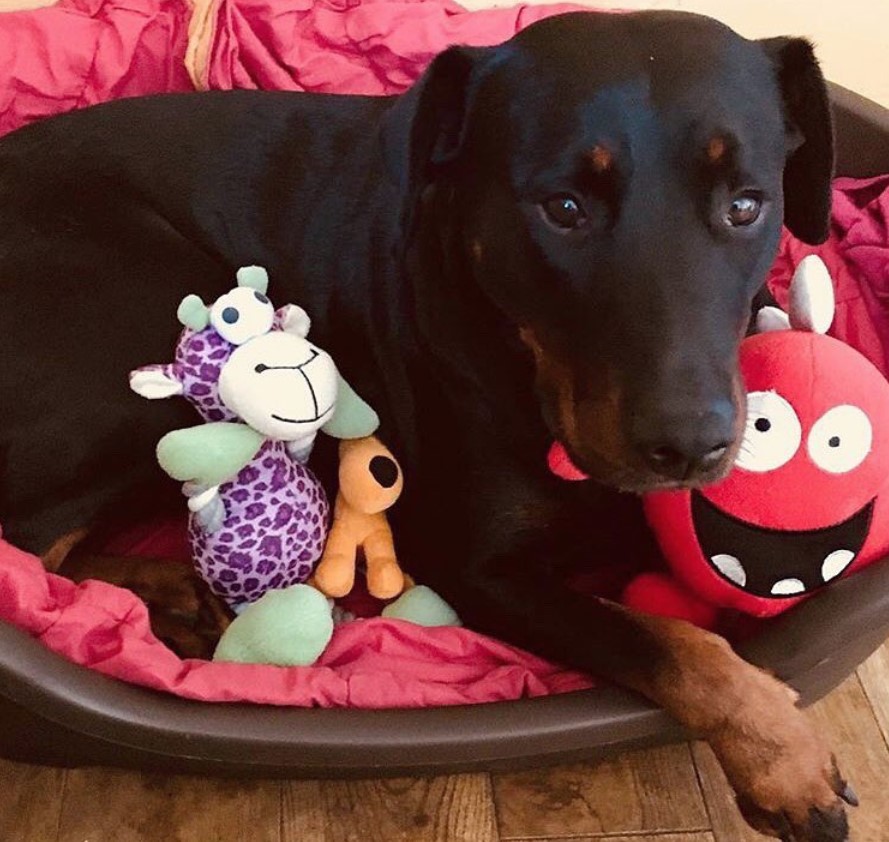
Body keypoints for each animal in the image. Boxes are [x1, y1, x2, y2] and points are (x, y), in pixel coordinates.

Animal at [0, 9, 848, 836]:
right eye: (563, 209)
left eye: (745, 204)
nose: (688, 446)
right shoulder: (475, 564)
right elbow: (660, 639)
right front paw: (781, 756)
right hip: (149, 324)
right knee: (30, 547)